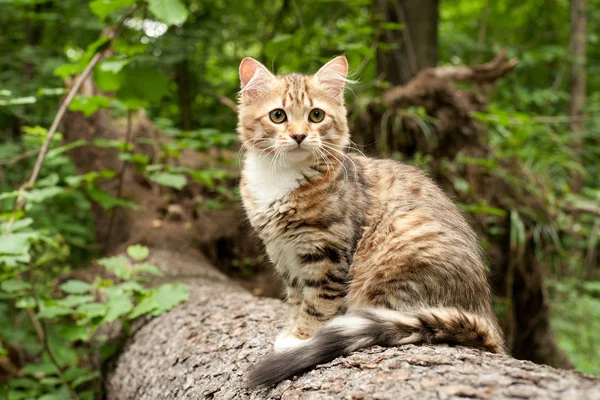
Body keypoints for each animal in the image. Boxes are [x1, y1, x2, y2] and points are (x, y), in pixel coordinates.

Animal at [237, 55, 504, 388]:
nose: (299, 135)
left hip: (398, 251)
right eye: (278, 116)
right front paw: (293, 328)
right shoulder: (284, 255)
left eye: (316, 115)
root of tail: (484, 314)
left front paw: (301, 338)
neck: (281, 177)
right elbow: (298, 298)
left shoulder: (328, 253)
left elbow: (318, 303)